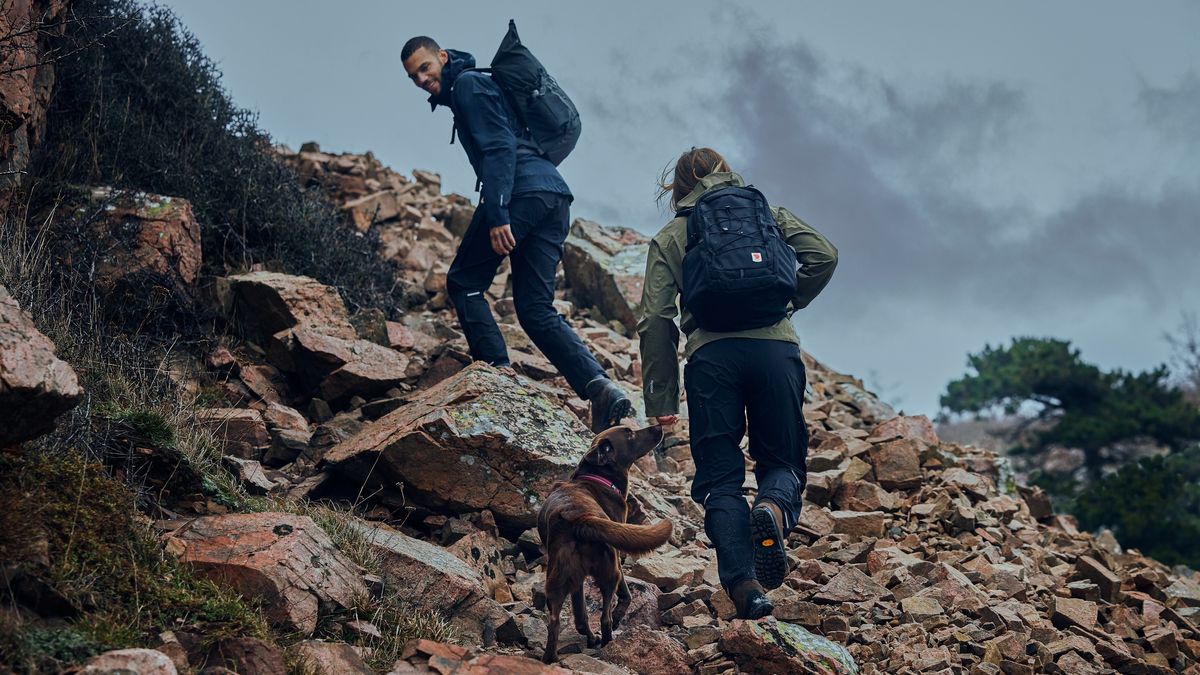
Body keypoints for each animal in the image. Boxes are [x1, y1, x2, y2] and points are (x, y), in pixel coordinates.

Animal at [537, 422, 676, 658]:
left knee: (557, 622)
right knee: (605, 617)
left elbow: (580, 615)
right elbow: (626, 595)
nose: (659, 426)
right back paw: (608, 642)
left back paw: (553, 657)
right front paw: (619, 616)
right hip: (609, 571)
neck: (597, 478)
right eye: (629, 434)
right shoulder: (618, 561)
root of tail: (580, 519)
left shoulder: (578, 583)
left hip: (558, 580)